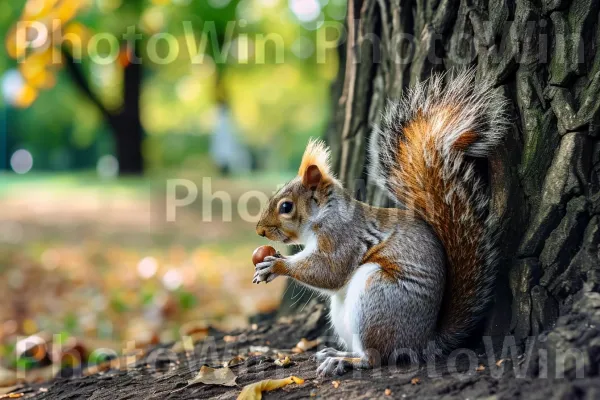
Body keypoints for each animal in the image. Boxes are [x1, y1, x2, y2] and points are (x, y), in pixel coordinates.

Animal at [252, 70, 506, 376]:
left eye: (286, 207)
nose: (260, 230)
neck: (324, 214)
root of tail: (422, 341)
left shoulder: (342, 237)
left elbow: (329, 271)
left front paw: (276, 265)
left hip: (377, 296)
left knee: (375, 357)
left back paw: (344, 360)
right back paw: (338, 352)